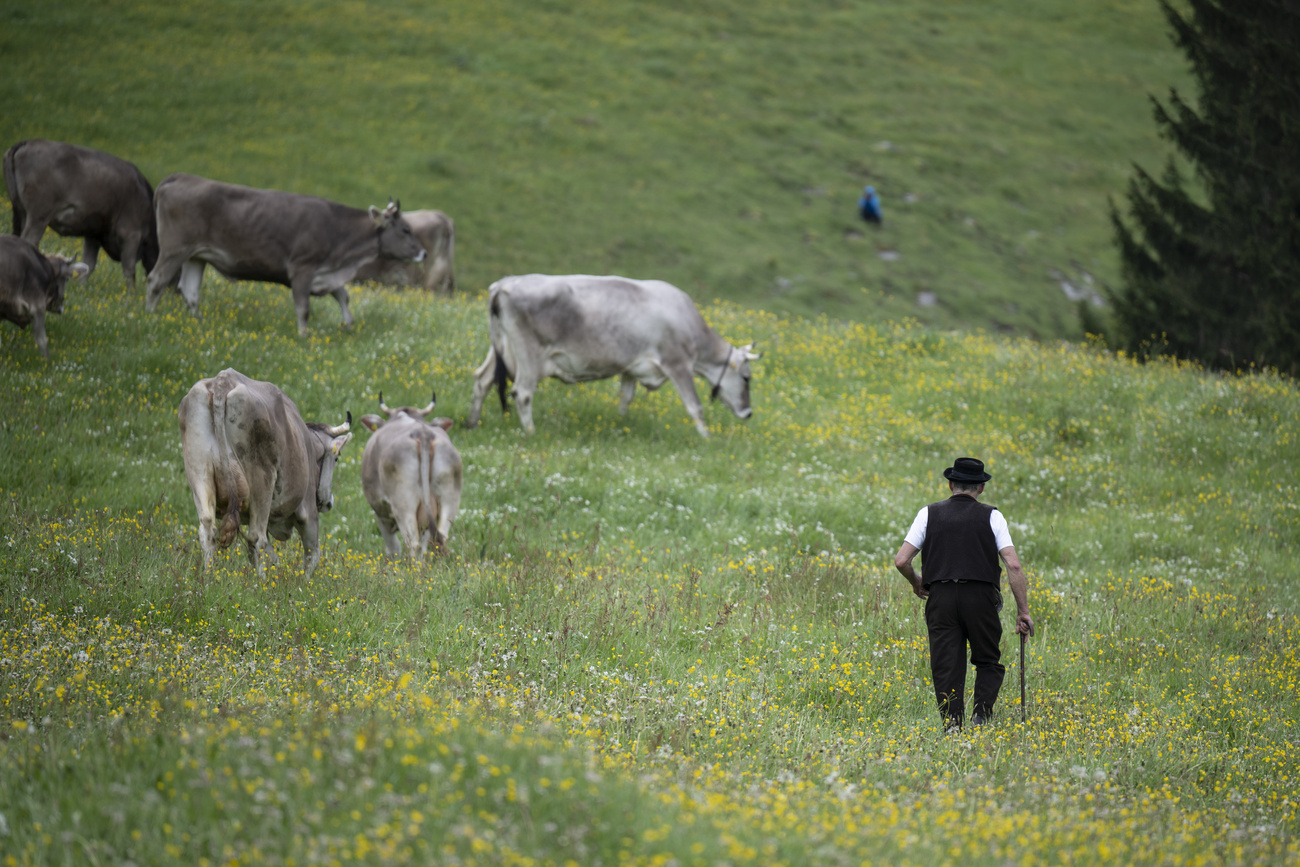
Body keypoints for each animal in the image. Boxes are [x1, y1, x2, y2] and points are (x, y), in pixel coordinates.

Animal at [3, 139, 159, 288]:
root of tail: (28, 142)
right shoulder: (131, 235)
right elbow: (129, 269)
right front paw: (131, 292)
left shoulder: (93, 235)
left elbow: (89, 264)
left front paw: (81, 289)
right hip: (38, 217)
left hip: (21, 212)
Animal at [145, 173, 427, 336]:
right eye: (405, 229)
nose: (423, 253)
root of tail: (180, 177)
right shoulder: (302, 268)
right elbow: (303, 308)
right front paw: (304, 337)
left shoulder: (325, 273)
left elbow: (343, 295)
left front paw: (348, 325)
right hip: (175, 249)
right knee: (156, 281)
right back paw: (151, 318)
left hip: (196, 255)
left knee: (190, 291)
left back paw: (199, 323)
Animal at [178, 368, 353, 579]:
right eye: (336, 458)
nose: (329, 502)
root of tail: (222, 382)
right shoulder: (307, 511)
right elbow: (312, 556)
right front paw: (304, 582)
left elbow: (270, 556)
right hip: (262, 481)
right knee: (257, 538)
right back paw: (258, 583)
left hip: (199, 472)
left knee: (208, 531)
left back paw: (209, 578)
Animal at [358, 392, 463, 558]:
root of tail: (422, 432)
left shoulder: (380, 511)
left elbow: (393, 547)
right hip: (449, 498)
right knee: (439, 538)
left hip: (403, 504)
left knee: (412, 542)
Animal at [466, 274, 761, 438]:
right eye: (746, 378)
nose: (748, 413)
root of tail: (504, 284)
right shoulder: (677, 364)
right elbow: (695, 406)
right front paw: (707, 437)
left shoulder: (632, 367)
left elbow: (625, 398)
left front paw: (622, 423)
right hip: (529, 356)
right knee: (523, 393)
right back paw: (531, 433)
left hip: (499, 348)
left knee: (481, 380)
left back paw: (472, 423)